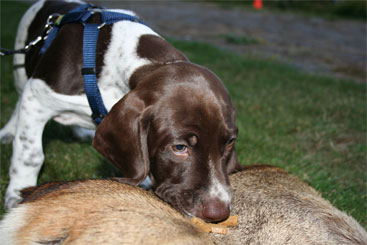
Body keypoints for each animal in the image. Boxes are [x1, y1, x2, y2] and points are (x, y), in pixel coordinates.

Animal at [0, 0, 242, 220]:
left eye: (230, 143)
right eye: (179, 147)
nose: (219, 213)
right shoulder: (36, 97)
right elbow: (30, 154)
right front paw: (18, 194)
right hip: (20, 70)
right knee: (19, 103)